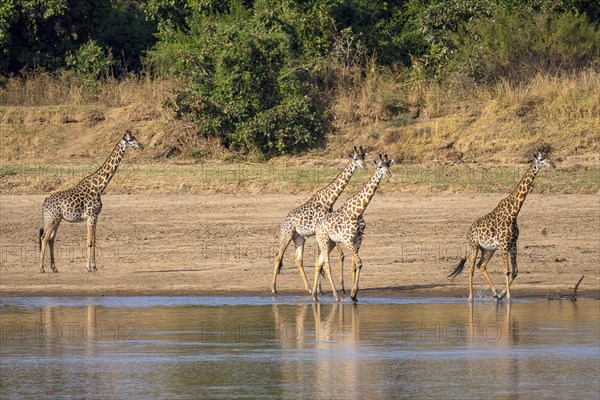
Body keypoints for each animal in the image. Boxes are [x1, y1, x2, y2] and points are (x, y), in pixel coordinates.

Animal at [38, 130, 144, 274]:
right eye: (131, 139)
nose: (141, 145)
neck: (99, 187)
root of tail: (44, 203)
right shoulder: (92, 216)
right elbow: (90, 241)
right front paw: (90, 267)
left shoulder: (94, 217)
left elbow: (94, 240)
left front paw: (94, 266)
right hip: (51, 219)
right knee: (44, 238)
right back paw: (41, 268)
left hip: (57, 220)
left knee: (51, 239)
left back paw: (54, 268)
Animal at [270, 146, 366, 294]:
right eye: (356, 159)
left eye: (363, 158)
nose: (364, 166)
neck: (329, 200)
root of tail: (283, 221)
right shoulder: (321, 230)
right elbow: (324, 254)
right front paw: (324, 287)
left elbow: (325, 255)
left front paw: (322, 288)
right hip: (287, 234)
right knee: (278, 256)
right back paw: (274, 289)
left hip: (299, 237)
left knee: (298, 259)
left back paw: (309, 288)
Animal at [312, 155, 396, 302]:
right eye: (380, 166)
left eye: (389, 166)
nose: (389, 174)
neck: (358, 211)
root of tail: (317, 226)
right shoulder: (347, 240)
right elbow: (359, 262)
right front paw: (353, 294)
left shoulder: (357, 240)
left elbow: (356, 264)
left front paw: (354, 295)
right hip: (324, 241)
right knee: (325, 264)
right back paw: (336, 296)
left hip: (331, 242)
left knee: (319, 262)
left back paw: (315, 296)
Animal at [448, 145, 556, 302]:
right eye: (542, 159)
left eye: (549, 157)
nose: (554, 164)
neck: (514, 212)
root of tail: (468, 231)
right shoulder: (504, 245)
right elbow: (506, 271)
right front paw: (509, 298)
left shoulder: (513, 244)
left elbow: (515, 271)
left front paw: (502, 294)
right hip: (474, 246)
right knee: (471, 269)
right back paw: (470, 297)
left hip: (488, 249)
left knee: (481, 265)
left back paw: (494, 293)